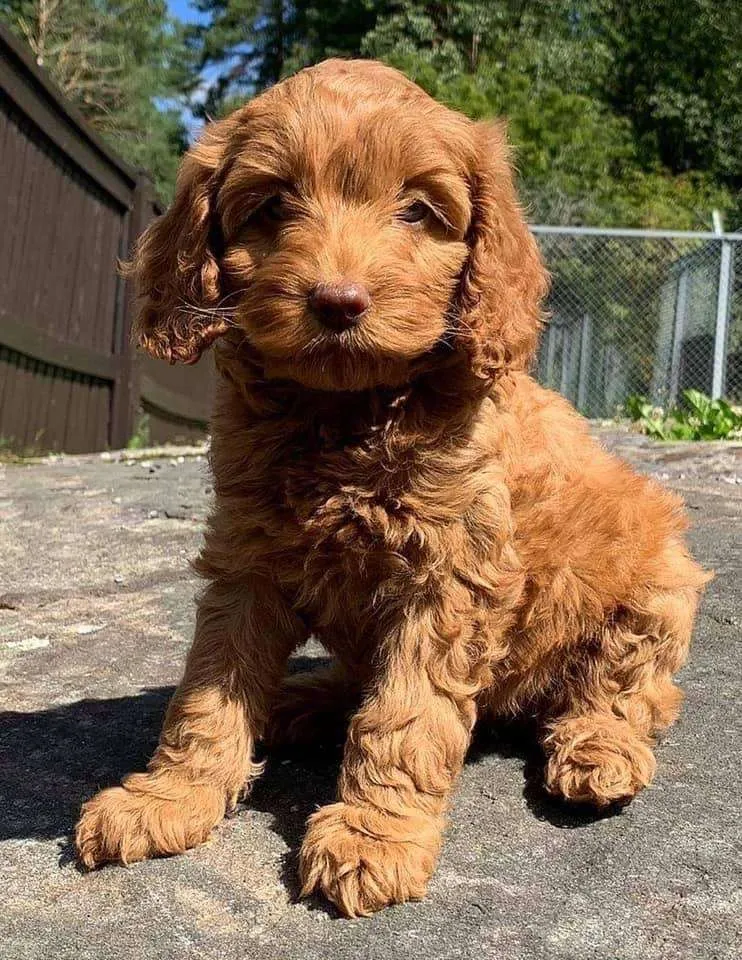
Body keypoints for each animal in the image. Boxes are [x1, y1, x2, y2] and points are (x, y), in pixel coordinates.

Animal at [75, 58, 708, 916]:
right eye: (272, 206)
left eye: (418, 210)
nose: (338, 302)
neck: (347, 413)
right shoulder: (246, 558)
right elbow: (208, 687)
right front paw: (169, 796)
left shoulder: (451, 578)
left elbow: (406, 713)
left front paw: (373, 837)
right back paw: (303, 700)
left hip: (658, 581)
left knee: (628, 689)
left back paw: (597, 748)